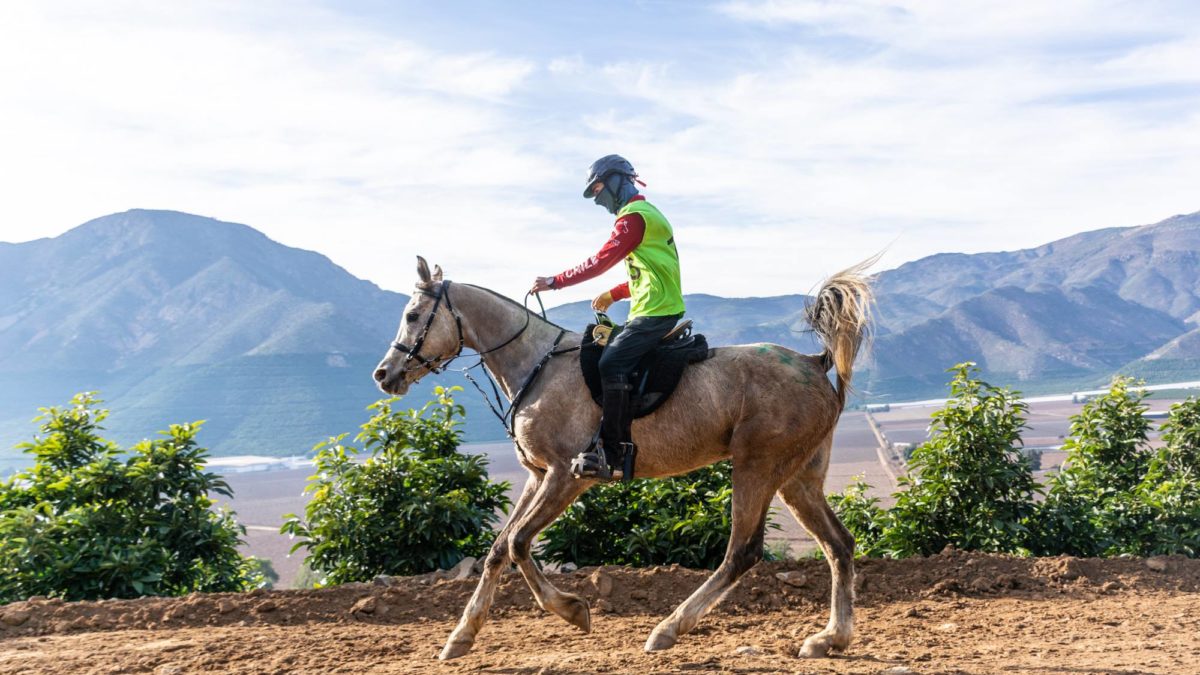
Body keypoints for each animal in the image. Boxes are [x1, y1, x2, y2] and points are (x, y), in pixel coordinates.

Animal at [374, 255, 873, 658]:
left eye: (412, 314)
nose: (384, 374)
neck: (537, 364)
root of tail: (813, 363)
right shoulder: (537, 476)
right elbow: (499, 549)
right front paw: (460, 637)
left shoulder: (566, 476)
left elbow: (517, 543)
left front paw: (573, 610)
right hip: (798, 477)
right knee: (839, 544)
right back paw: (830, 638)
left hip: (757, 466)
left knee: (742, 552)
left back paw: (669, 628)